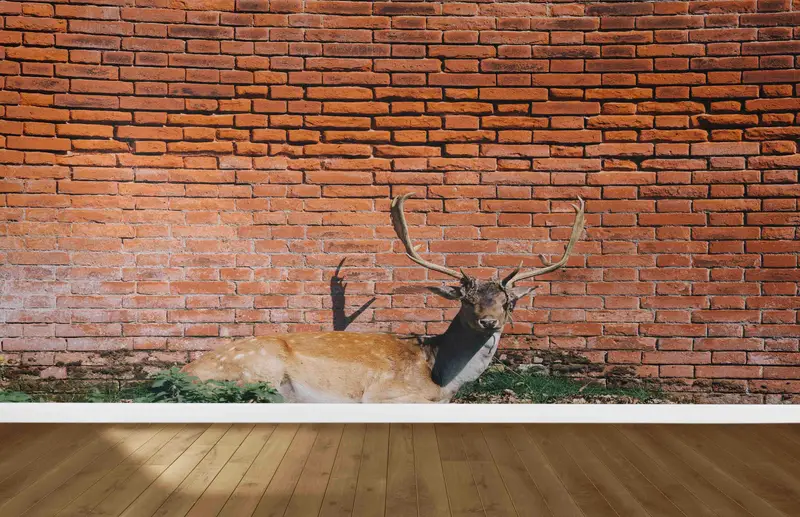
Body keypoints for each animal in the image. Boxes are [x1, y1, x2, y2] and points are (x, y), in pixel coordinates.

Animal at [181, 194, 585, 403]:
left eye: (507, 303)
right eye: (466, 300)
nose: (490, 321)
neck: (440, 382)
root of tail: (186, 371)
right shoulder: (384, 394)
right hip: (256, 371)